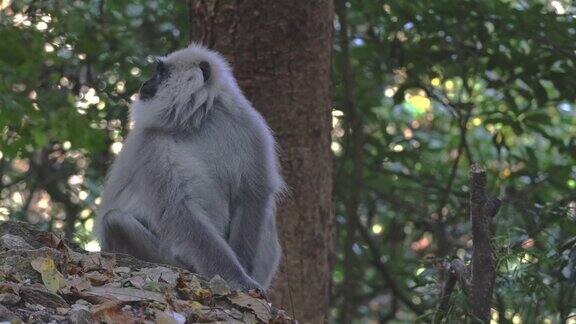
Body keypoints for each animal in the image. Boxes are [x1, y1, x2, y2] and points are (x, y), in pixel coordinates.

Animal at [95, 43, 284, 292]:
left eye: (161, 73)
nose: (144, 83)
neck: (199, 119)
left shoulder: (251, 127)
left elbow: (253, 195)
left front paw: (245, 273)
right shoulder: (150, 143)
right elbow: (178, 211)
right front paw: (238, 278)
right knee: (115, 221)